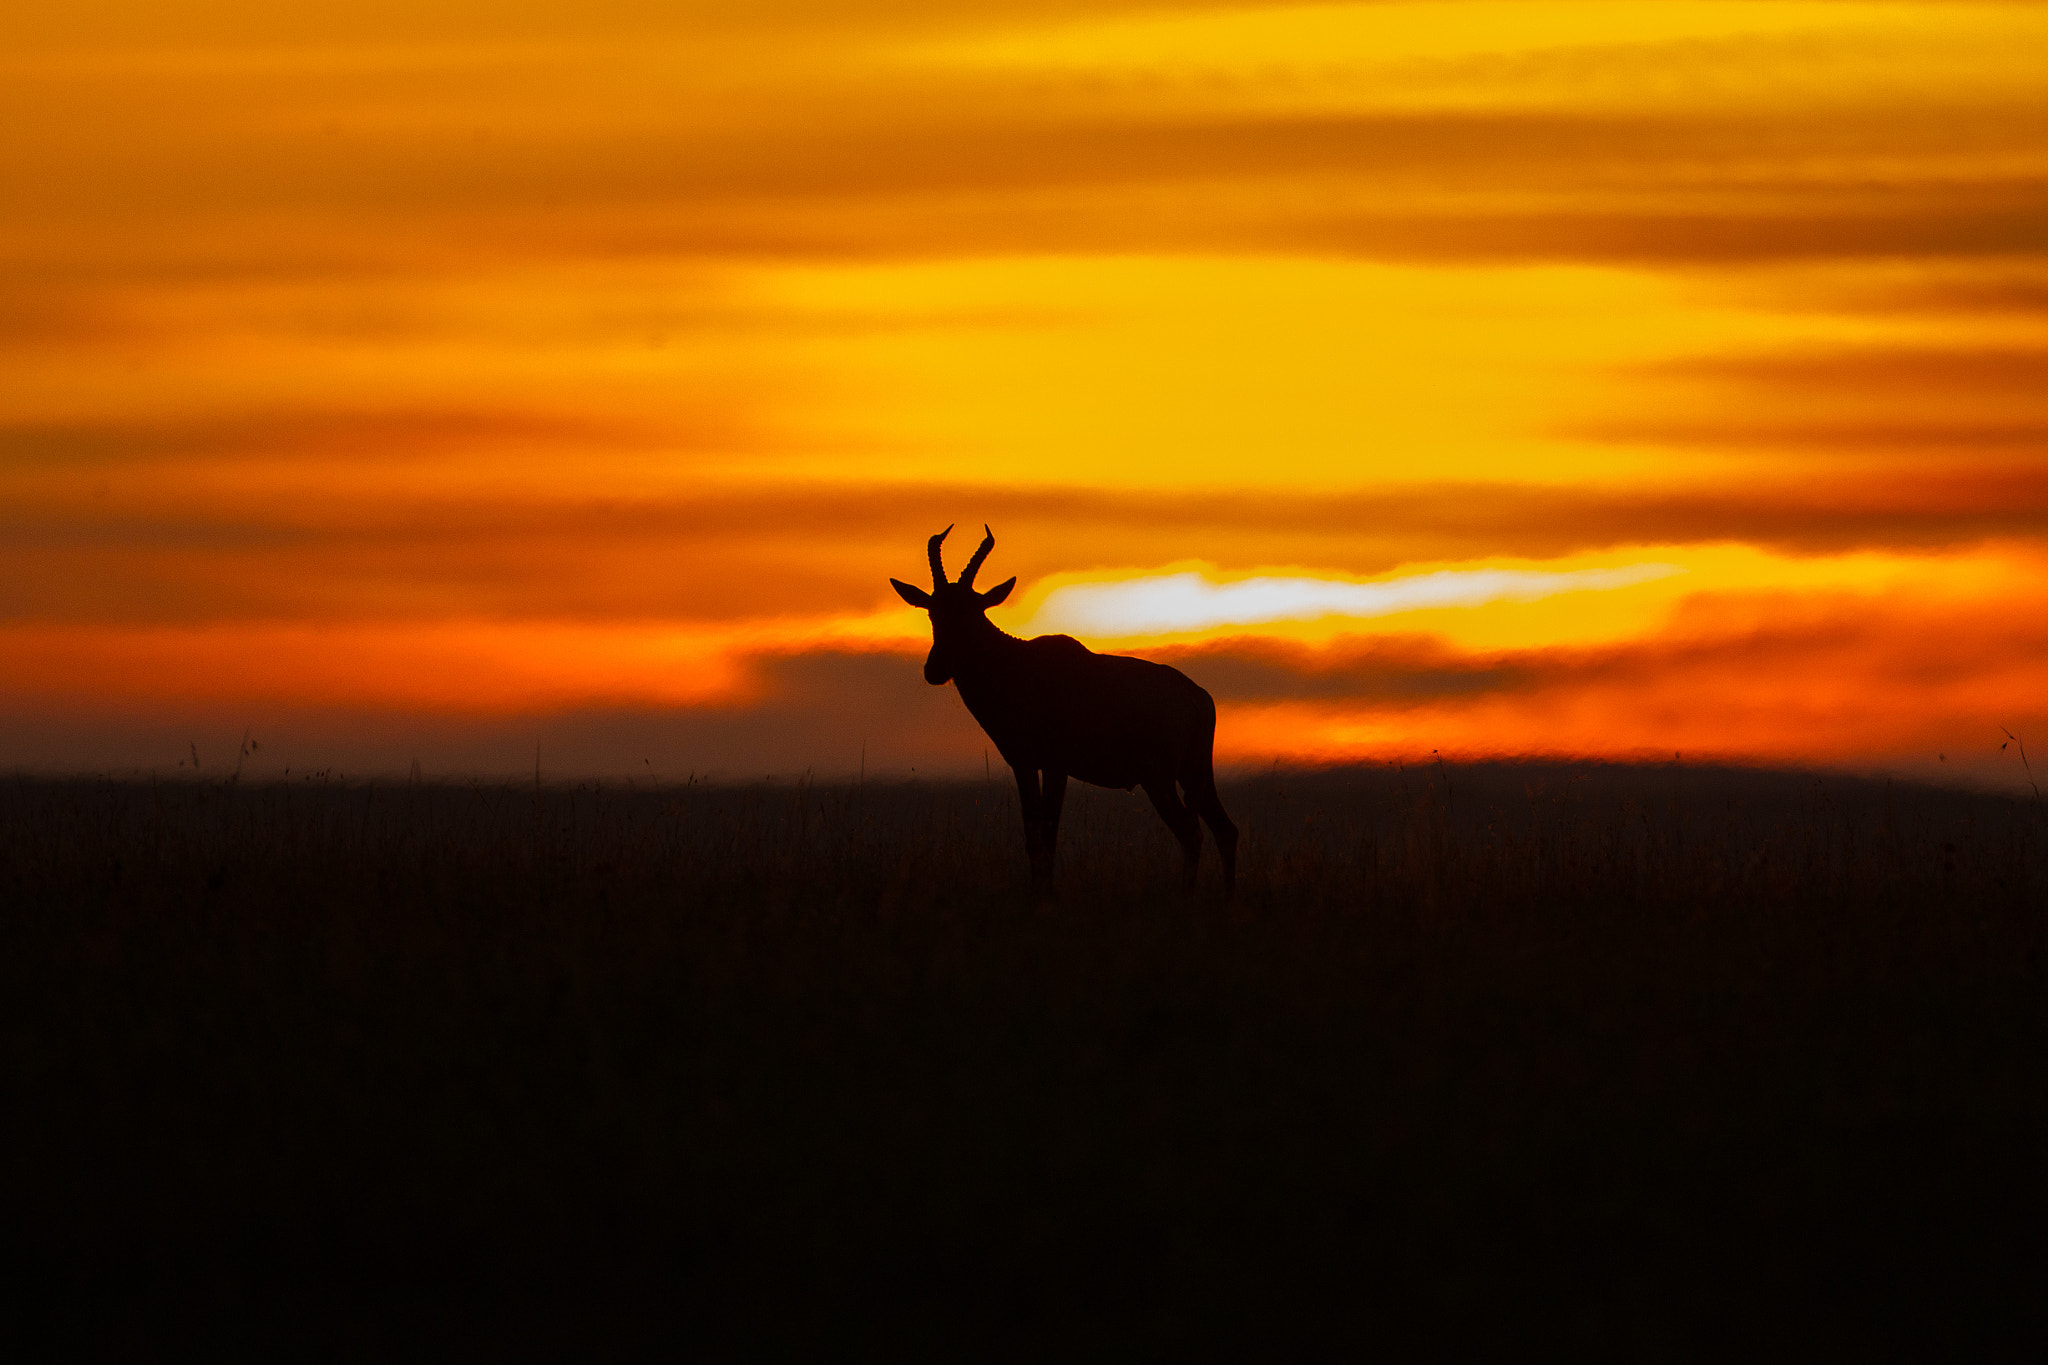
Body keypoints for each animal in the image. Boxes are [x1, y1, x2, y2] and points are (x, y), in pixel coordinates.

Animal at [888, 527, 1236, 900]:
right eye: (931, 612)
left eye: (971, 612)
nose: (935, 669)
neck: (1019, 663)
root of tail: (1197, 698)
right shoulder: (1025, 764)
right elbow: (1034, 837)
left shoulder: (1054, 766)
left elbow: (1048, 836)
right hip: (1194, 774)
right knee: (1224, 829)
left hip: (1158, 779)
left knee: (1191, 833)